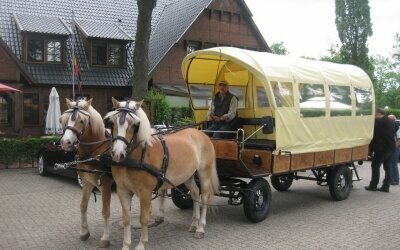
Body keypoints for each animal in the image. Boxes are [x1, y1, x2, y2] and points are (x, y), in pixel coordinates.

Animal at [59, 97, 114, 246]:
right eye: (64, 120)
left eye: (82, 121)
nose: (65, 142)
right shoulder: (87, 182)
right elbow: (83, 205)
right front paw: (84, 232)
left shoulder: (106, 185)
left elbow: (105, 211)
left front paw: (105, 237)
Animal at [104, 97, 220, 250]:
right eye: (112, 122)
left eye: (134, 125)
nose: (117, 153)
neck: (139, 154)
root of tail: (201, 134)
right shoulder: (122, 190)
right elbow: (126, 219)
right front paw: (126, 245)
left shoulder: (145, 192)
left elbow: (144, 218)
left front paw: (141, 244)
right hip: (188, 175)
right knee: (195, 193)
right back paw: (194, 224)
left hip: (204, 172)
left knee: (205, 196)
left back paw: (200, 228)